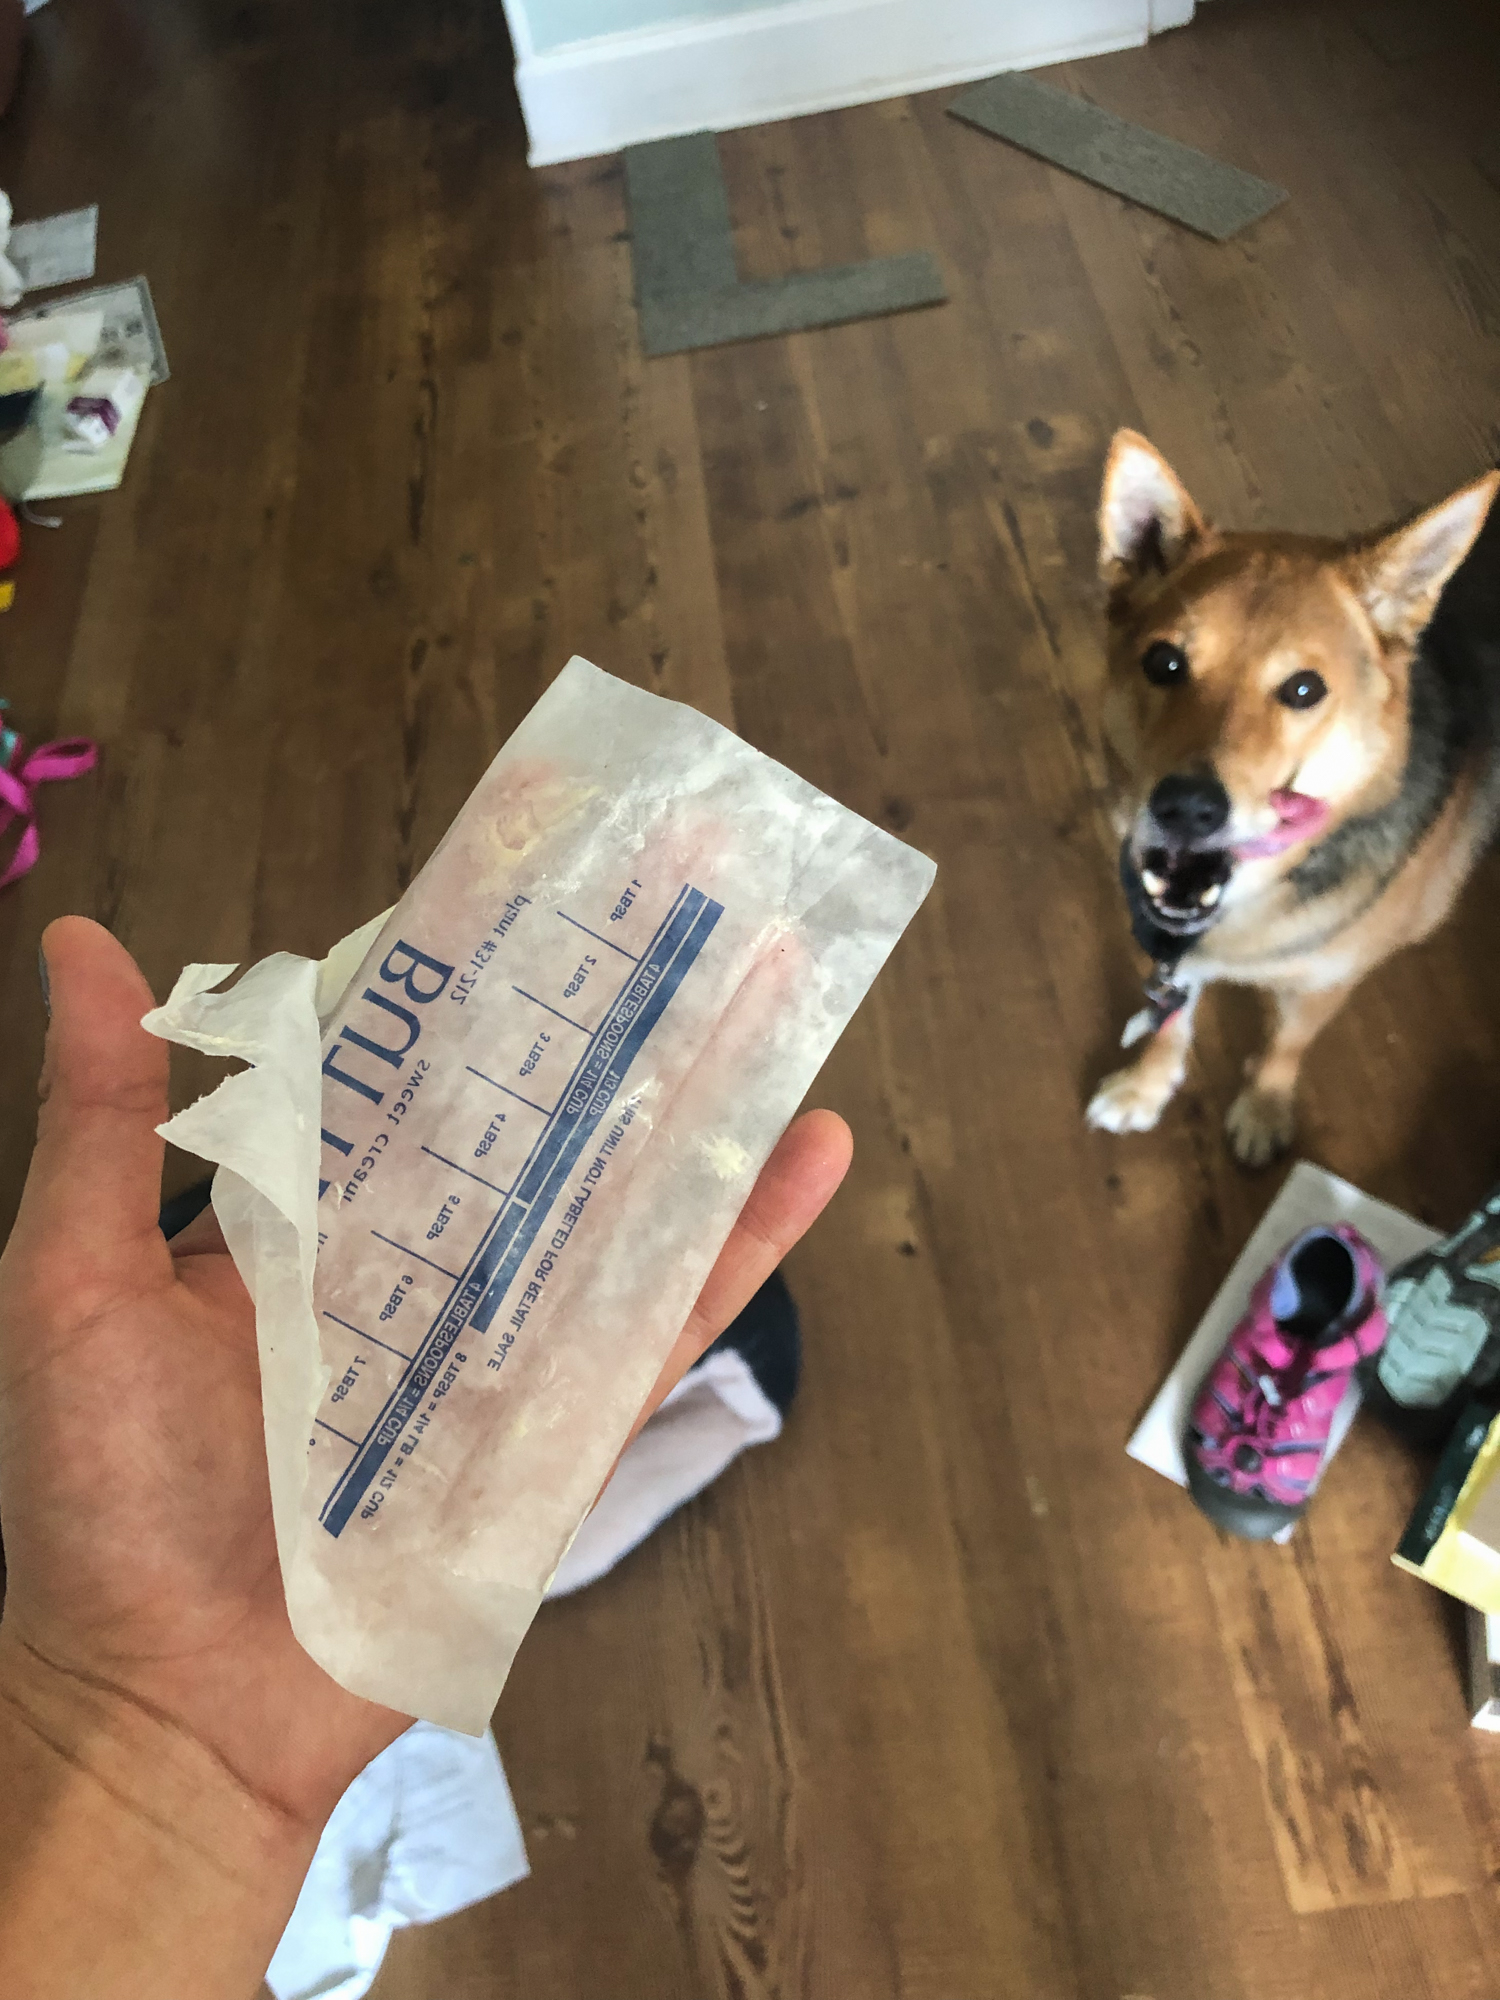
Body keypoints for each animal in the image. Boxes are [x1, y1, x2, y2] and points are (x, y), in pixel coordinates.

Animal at [1085, 430, 1500, 1165]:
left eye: (1305, 690)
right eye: (1164, 662)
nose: (1187, 807)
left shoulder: (1327, 980)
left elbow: (1288, 1042)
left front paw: (1264, 1107)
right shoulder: (1174, 953)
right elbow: (1171, 1018)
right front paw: (1146, 1085)